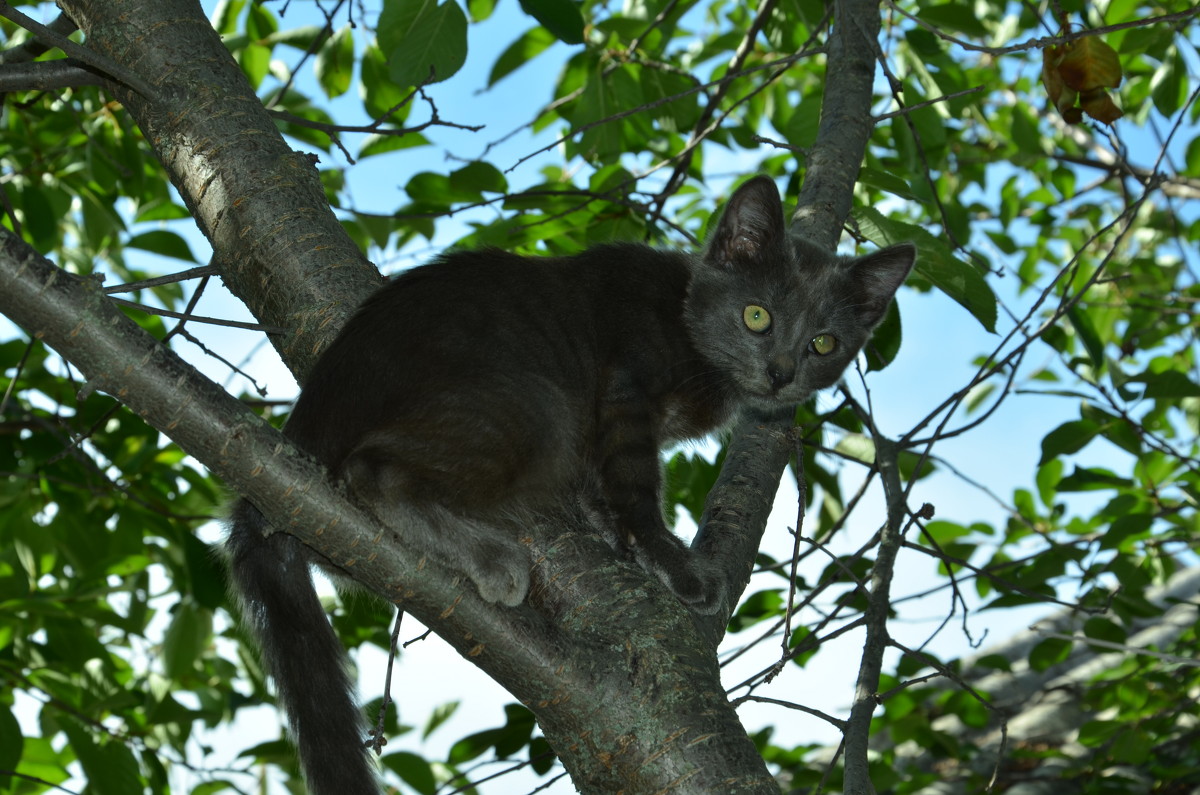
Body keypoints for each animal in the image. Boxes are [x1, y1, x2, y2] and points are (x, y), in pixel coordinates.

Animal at [226, 177, 916, 795]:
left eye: (824, 343)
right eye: (756, 316)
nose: (781, 374)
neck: (686, 320)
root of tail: (300, 433)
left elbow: (601, 486)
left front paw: (612, 533)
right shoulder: (625, 391)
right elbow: (637, 488)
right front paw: (673, 562)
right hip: (535, 404)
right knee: (375, 470)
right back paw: (492, 556)